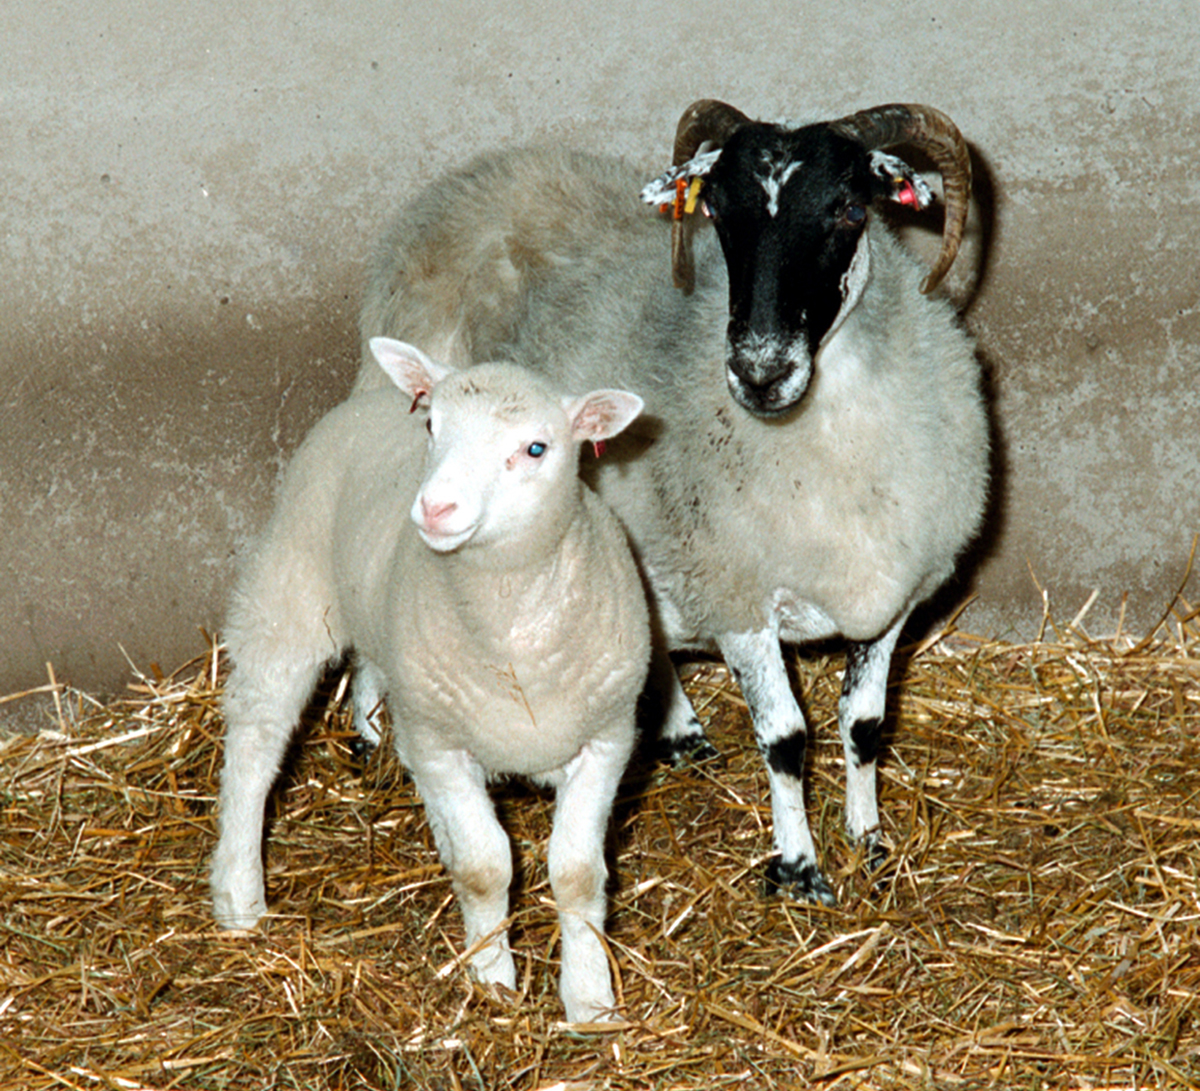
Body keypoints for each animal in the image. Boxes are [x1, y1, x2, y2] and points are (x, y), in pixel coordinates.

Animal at [211, 338, 652, 1022]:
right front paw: (493, 981)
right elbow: (484, 868)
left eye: (536, 448)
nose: (435, 507)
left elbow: (578, 874)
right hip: (289, 589)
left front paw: (589, 1000)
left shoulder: (606, 739)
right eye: (432, 428)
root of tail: (370, 399)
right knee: (255, 744)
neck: (512, 634)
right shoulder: (440, 744)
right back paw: (239, 895)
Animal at [350, 100, 988, 902]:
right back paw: (370, 731)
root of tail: (474, 177)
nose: (758, 371)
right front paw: (799, 868)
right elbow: (786, 739)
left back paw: (679, 728)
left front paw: (869, 843)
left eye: (848, 208)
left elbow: (864, 725)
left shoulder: (893, 596)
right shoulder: (736, 593)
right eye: (716, 210)